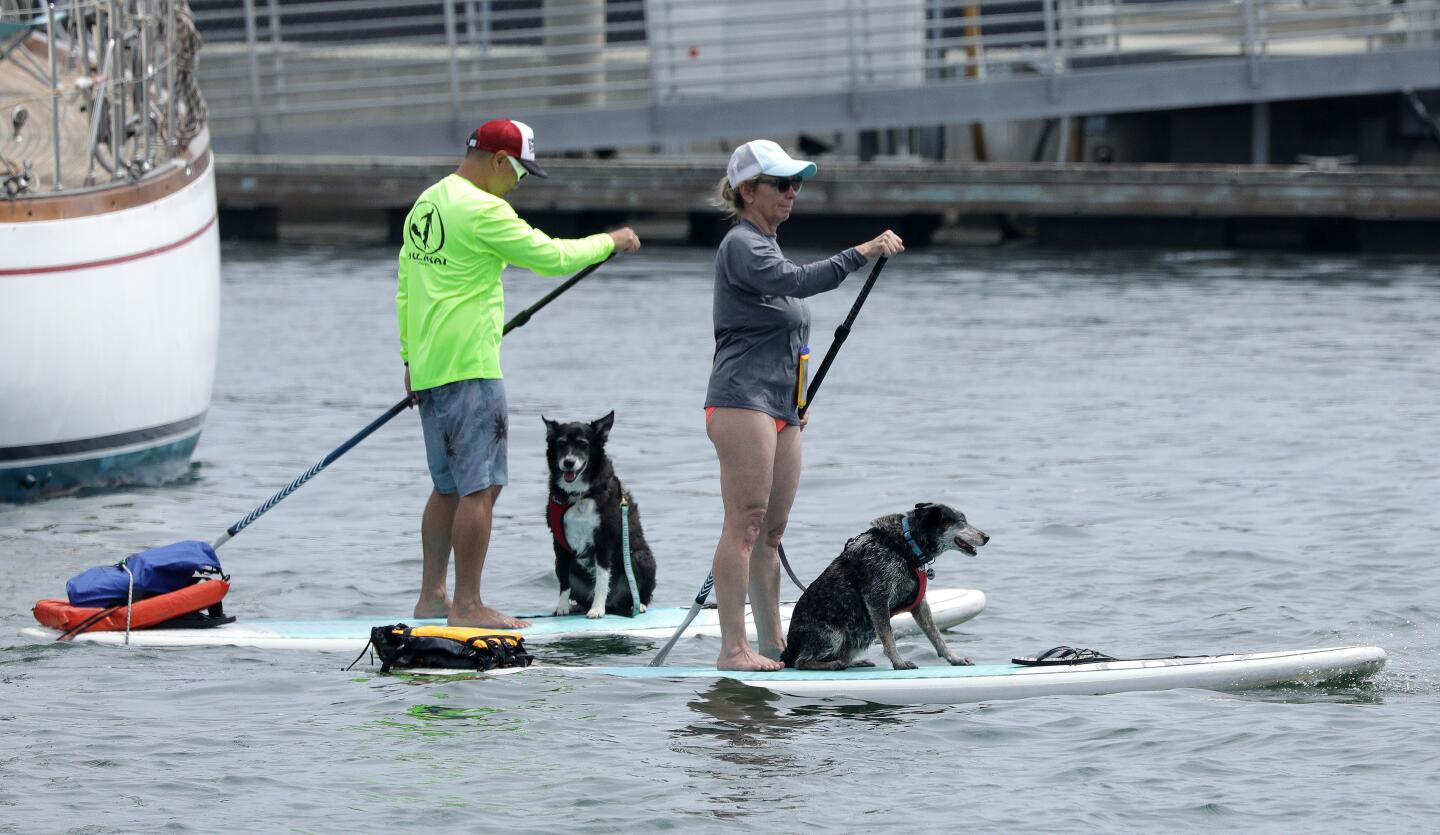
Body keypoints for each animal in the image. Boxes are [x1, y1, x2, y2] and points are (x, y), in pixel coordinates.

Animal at [541, 411, 656, 616]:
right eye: (561, 443)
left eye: (583, 444)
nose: (568, 463)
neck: (579, 495)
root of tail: (614, 603)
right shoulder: (559, 541)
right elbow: (564, 580)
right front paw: (562, 606)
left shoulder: (604, 539)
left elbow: (602, 578)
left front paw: (597, 609)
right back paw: (579, 605)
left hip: (640, 556)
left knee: (639, 593)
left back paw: (637, 605)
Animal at [777, 501, 990, 670]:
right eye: (961, 522)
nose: (986, 537)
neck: (906, 543)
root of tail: (787, 651)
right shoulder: (877, 597)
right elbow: (888, 636)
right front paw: (899, 663)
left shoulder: (920, 604)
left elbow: (936, 636)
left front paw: (955, 658)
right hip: (834, 634)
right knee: (800, 662)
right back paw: (832, 664)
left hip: (860, 636)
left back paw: (853, 662)